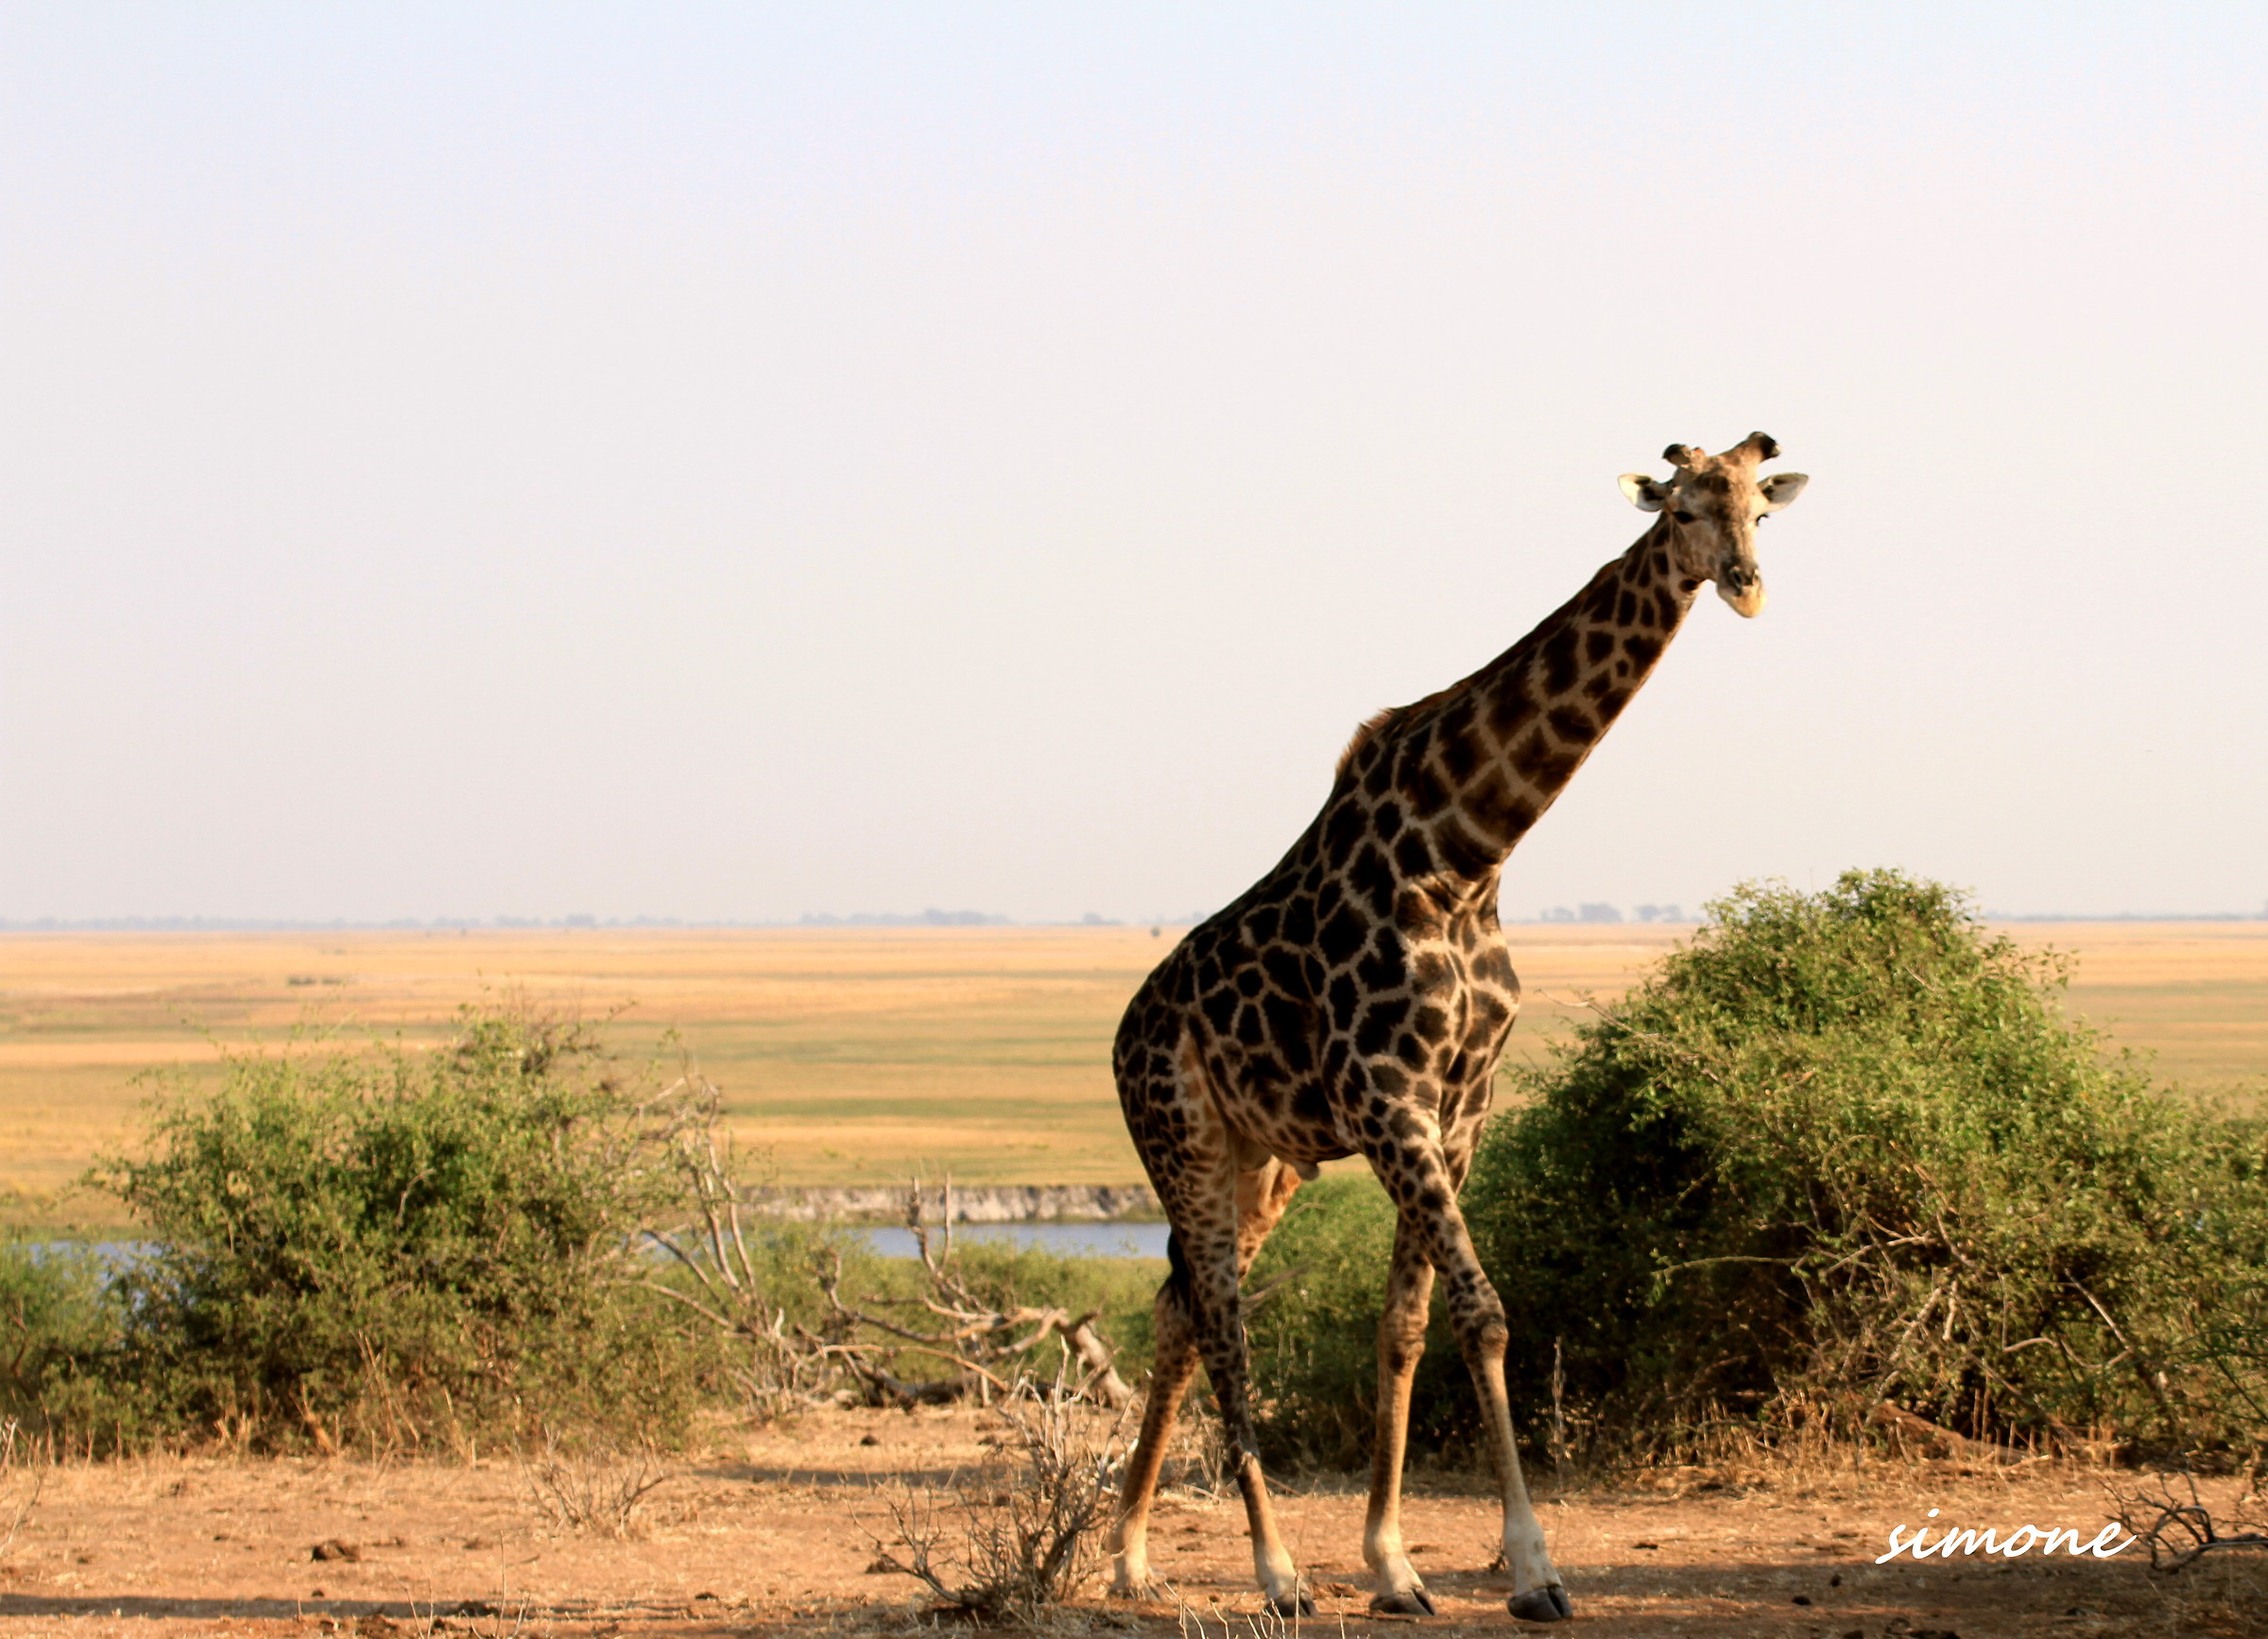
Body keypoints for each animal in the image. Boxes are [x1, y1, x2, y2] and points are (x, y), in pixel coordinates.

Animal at [1105, 433, 1810, 1621]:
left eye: (1763, 506)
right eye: (1682, 509)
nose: (1747, 585)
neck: (1469, 851)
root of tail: (1120, 1038)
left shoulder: (1458, 1106)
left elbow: (1408, 1327)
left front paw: (1394, 1566)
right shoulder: (1388, 1097)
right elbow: (1483, 1313)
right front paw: (1534, 1571)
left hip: (1264, 1162)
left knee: (1179, 1310)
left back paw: (1129, 1556)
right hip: (1184, 1141)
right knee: (1225, 1319)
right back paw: (1275, 1574)